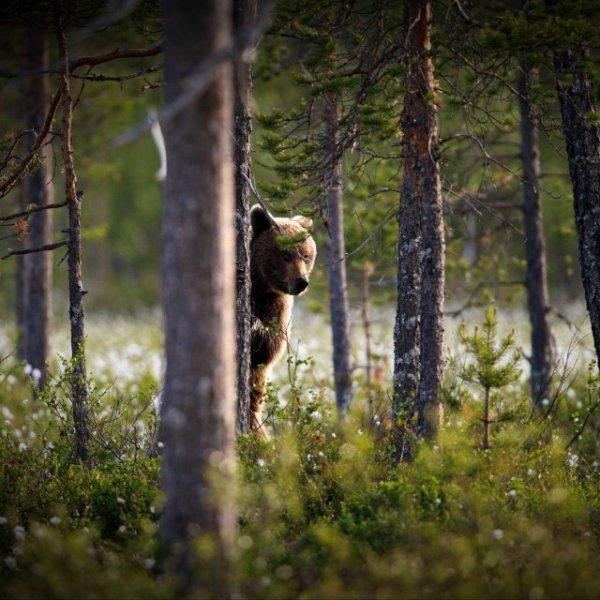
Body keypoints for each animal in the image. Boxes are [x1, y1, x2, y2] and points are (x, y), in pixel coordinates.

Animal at [248, 203, 316, 436]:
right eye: (285, 255)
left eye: (306, 255)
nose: (301, 282)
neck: (260, 286)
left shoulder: (277, 306)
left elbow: (270, 346)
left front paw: (257, 331)